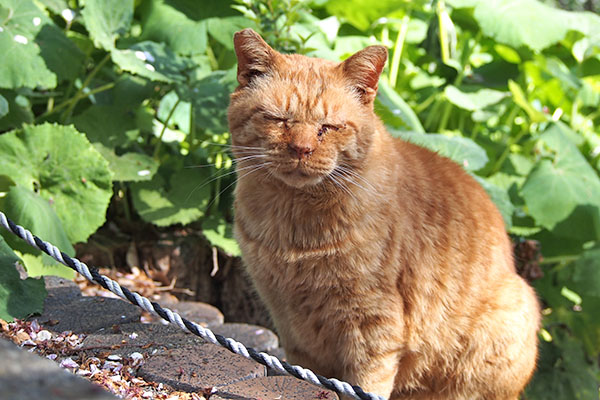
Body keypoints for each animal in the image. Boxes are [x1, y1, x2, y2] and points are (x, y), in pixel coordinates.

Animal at [227, 28, 540, 400]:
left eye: (329, 127)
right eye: (278, 119)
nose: (301, 149)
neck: (294, 227)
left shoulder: (373, 326)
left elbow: (362, 386)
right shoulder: (295, 331)